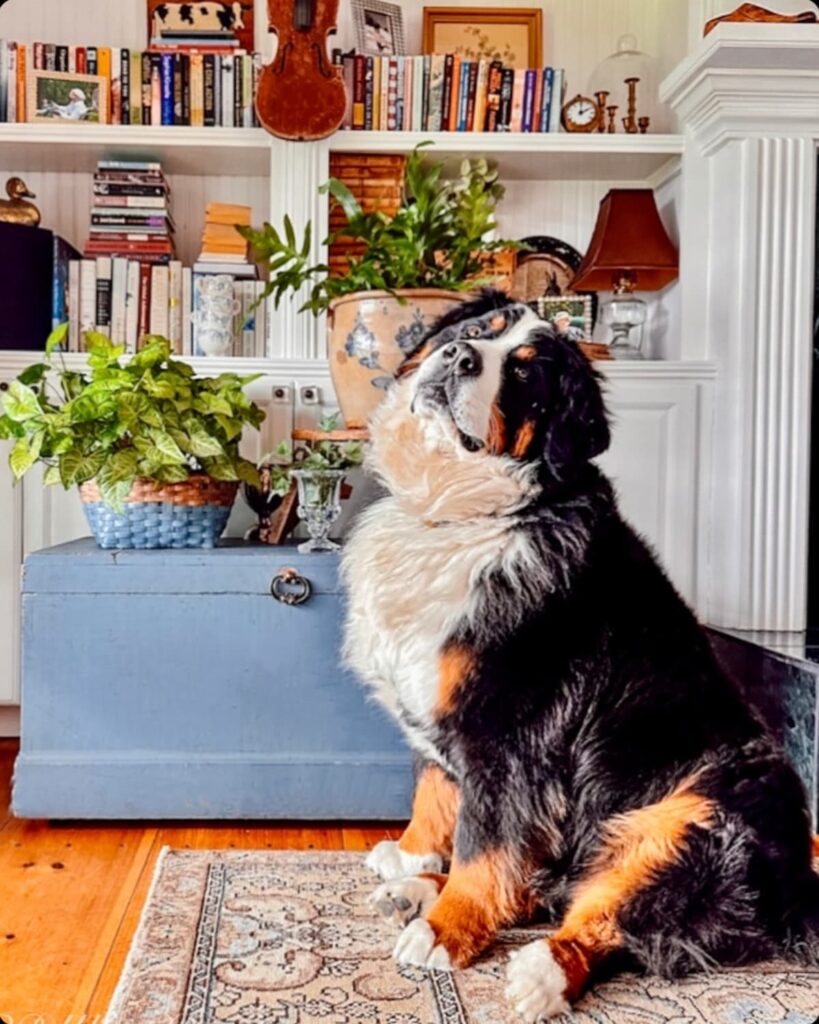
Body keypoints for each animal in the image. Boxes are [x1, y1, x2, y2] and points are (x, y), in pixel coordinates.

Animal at [339, 286, 818, 1015]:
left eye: (525, 374)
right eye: (478, 329)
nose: (459, 356)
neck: (455, 510)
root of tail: (798, 893)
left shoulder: (510, 735)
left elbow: (484, 844)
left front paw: (449, 930)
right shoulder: (444, 712)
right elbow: (434, 791)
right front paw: (416, 857)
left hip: (700, 814)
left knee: (619, 920)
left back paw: (539, 971)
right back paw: (412, 891)